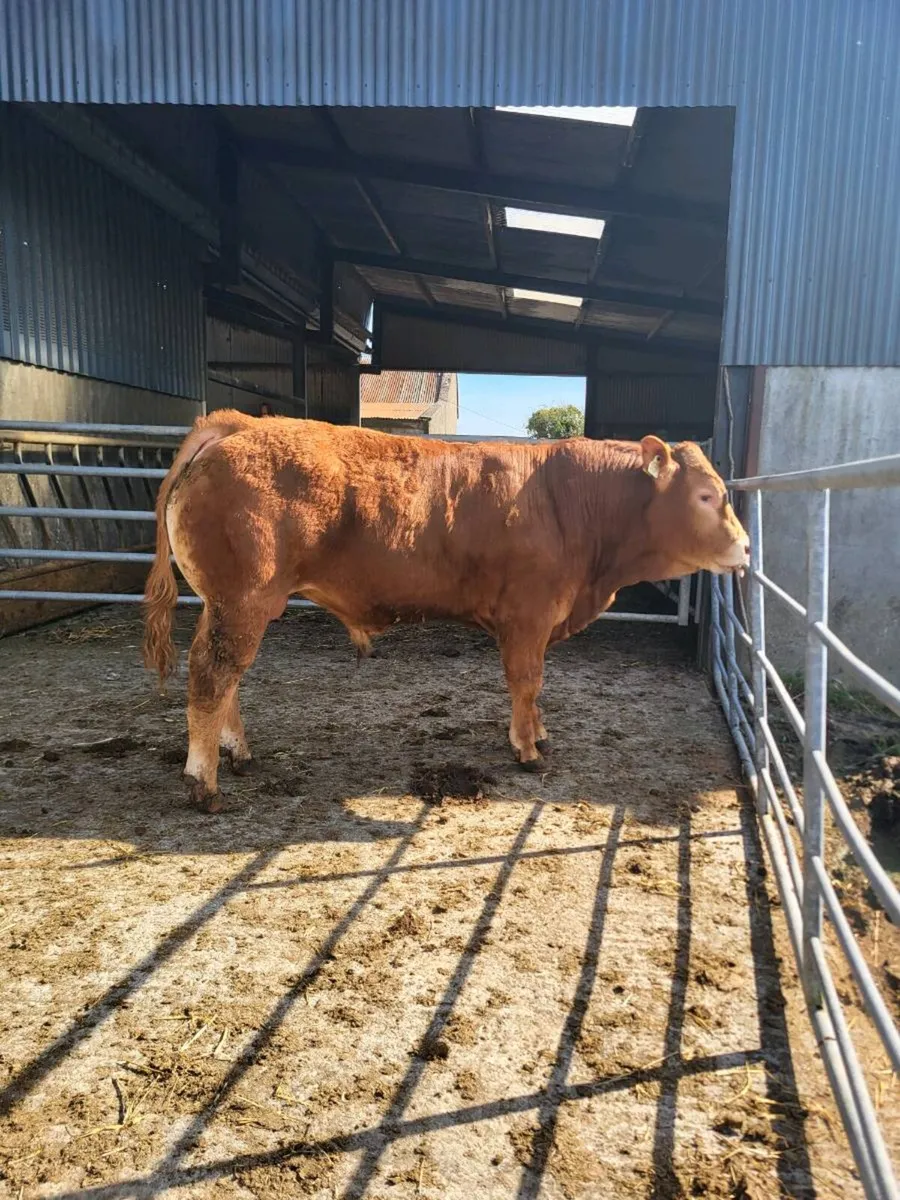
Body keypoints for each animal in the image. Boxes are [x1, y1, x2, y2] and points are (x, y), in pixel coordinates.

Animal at [143, 410, 748, 812]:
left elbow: (536, 688)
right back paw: (204, 783)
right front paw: (528, 748)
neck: (572, 502)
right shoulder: (527, 617)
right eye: (705, 496)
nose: (745, 547)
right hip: (243, 600)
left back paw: (238, 754)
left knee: (224, 676)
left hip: (227, 604)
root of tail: (239, 423)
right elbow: (527, 681)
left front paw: (539, 732)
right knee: (213, 676)